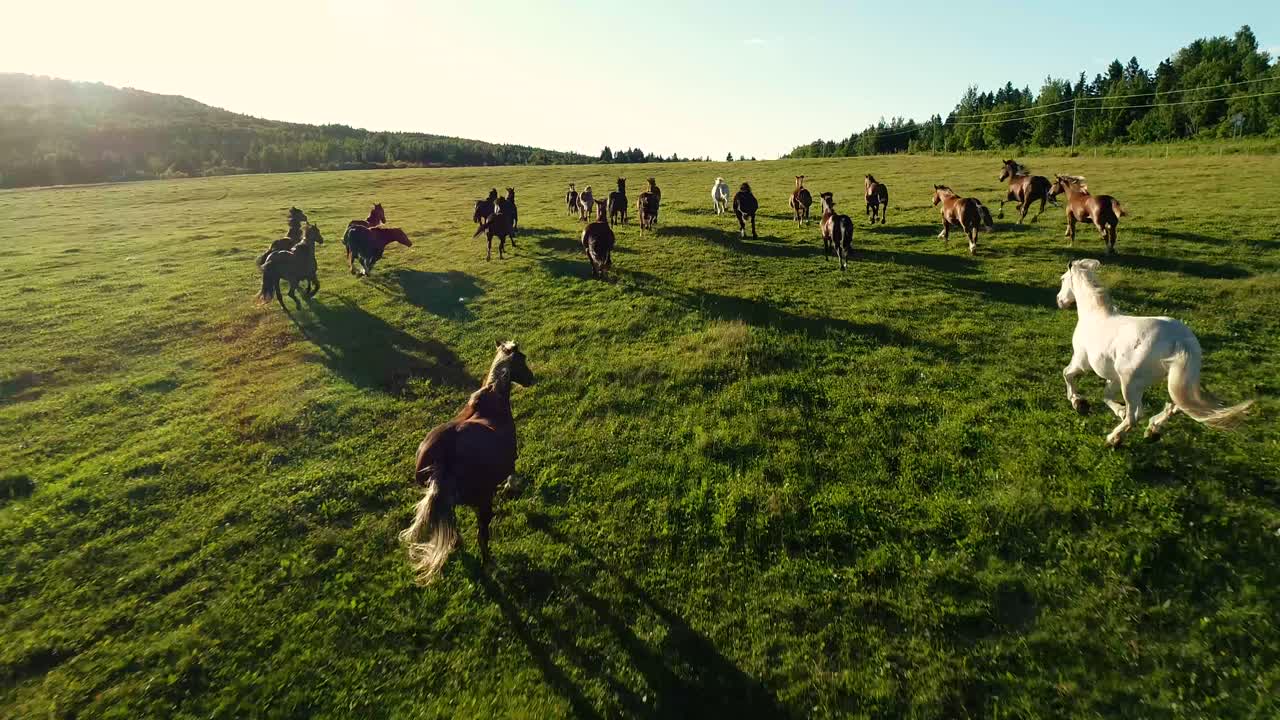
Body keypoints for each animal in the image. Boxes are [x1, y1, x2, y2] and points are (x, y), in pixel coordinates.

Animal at [400, 340, 535, 583]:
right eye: (523, 359)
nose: (532, 378)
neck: (493, 397)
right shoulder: (510, 460)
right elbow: (512, 475)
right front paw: (513, 487)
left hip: (450, 504)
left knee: (454, 528)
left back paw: (457, 545)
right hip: (482, 503)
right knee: (482, 536)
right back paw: (490, 565)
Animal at [1056, 259, 1252, 446]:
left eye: (1063, 279)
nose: (1059, 300)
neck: (1094, 316)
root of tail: (1179, 339)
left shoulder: (1081, 362)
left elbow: (1067, 374)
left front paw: (1078, 402)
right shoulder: (1114, 378)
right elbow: (1107, 396)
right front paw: (1118, 410)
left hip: (1131, 384)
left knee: (1136, 415)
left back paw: (1114, 439)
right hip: (1176, 379)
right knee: (1177, 405)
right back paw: (1152, 430)